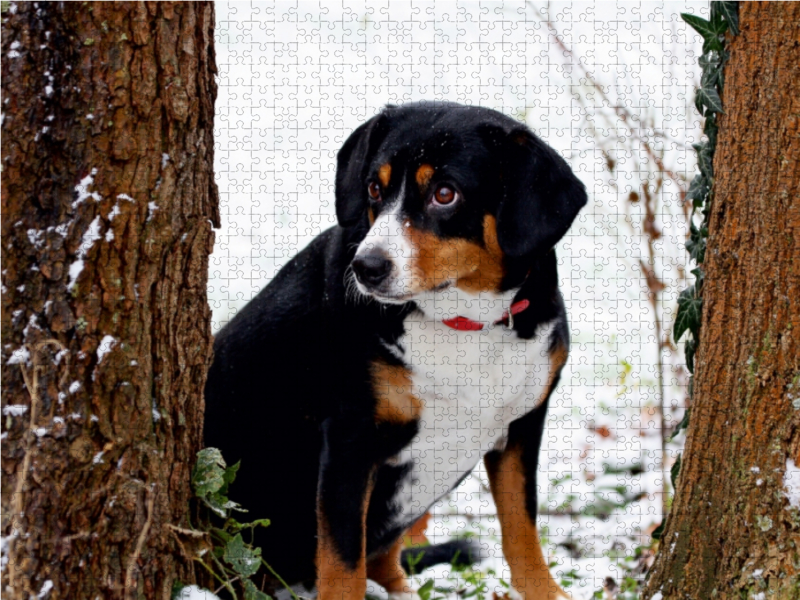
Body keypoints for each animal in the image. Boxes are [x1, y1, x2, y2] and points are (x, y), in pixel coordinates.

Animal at [203, 103, 584, 600]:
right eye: (374, 188)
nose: (366, 267)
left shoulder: (523, 424)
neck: (464, 323)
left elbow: (521, 527)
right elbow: (342, 560)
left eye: (445, 193)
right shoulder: (350, 438)